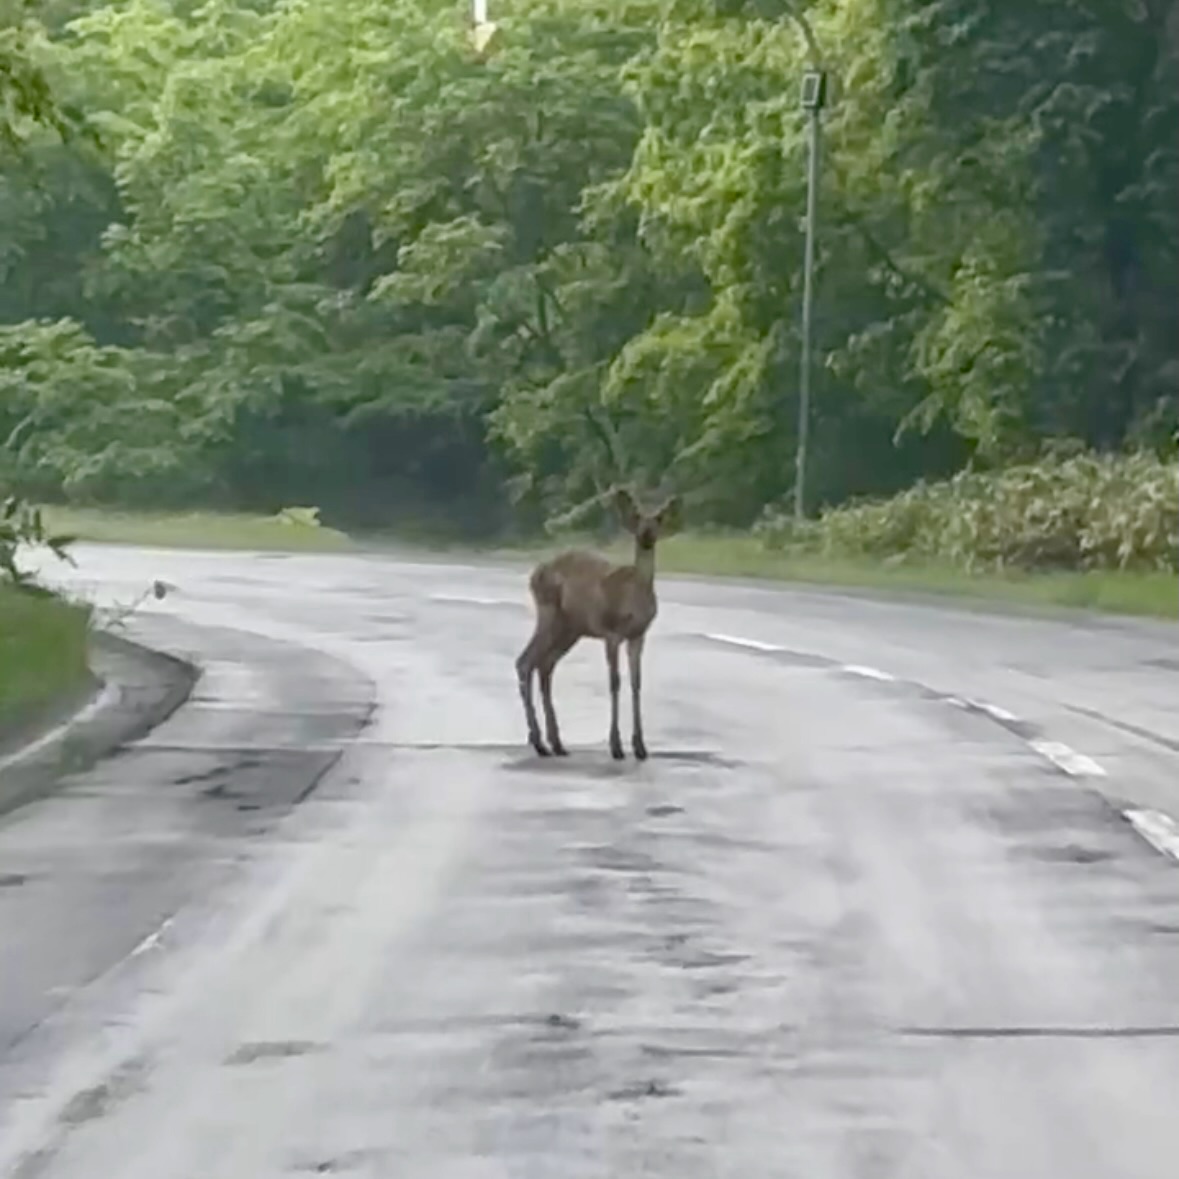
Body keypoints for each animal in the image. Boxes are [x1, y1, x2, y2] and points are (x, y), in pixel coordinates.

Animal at [515, 487, 682, 761]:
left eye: (658, 518)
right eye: (637, 516)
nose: (646, 536)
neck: (635, 594)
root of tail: (534, 573)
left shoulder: (638, 634)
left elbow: (637, 683)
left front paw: (640, 747)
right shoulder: (611, 632)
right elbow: (614, 681)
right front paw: (616, 747)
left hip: (570, 628)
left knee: (545, 664)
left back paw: (556, 743)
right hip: (550, 614)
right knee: (526, 661)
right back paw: (539, 743)